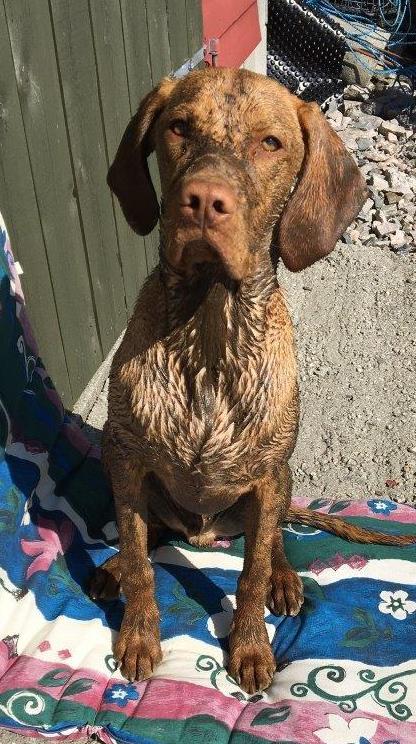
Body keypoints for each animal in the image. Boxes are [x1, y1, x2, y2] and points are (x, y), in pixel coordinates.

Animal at [89, 67, 414, 696]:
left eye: (270, 143)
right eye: (178, 127)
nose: (203, 201)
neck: (210, 334)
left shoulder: (265, 475)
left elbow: (252, 570)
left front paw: (250, 646)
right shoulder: (124, 457)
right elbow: (140, 560)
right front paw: (138, 634)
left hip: (280, 482)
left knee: (276, 539)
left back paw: (285, 580)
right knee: (148, 535)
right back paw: (113, 565)